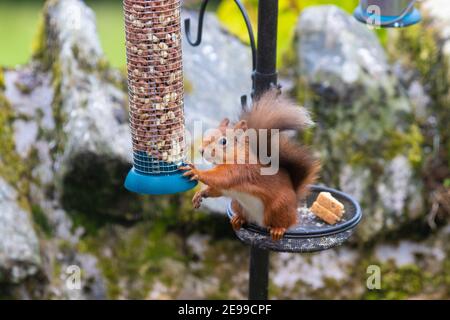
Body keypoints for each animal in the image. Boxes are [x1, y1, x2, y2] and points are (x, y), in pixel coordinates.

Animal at [179, 90, 320, 240]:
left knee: (287, 222)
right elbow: (217, 188)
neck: (235, 156)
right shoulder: (226, 187)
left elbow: (220, 177)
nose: (201, 150)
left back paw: (278, 229)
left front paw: (196, 172)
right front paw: (200, 194)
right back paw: (238, 219)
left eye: (223, 141)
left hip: (279, 207)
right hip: (238, 203)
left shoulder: (240, 170)